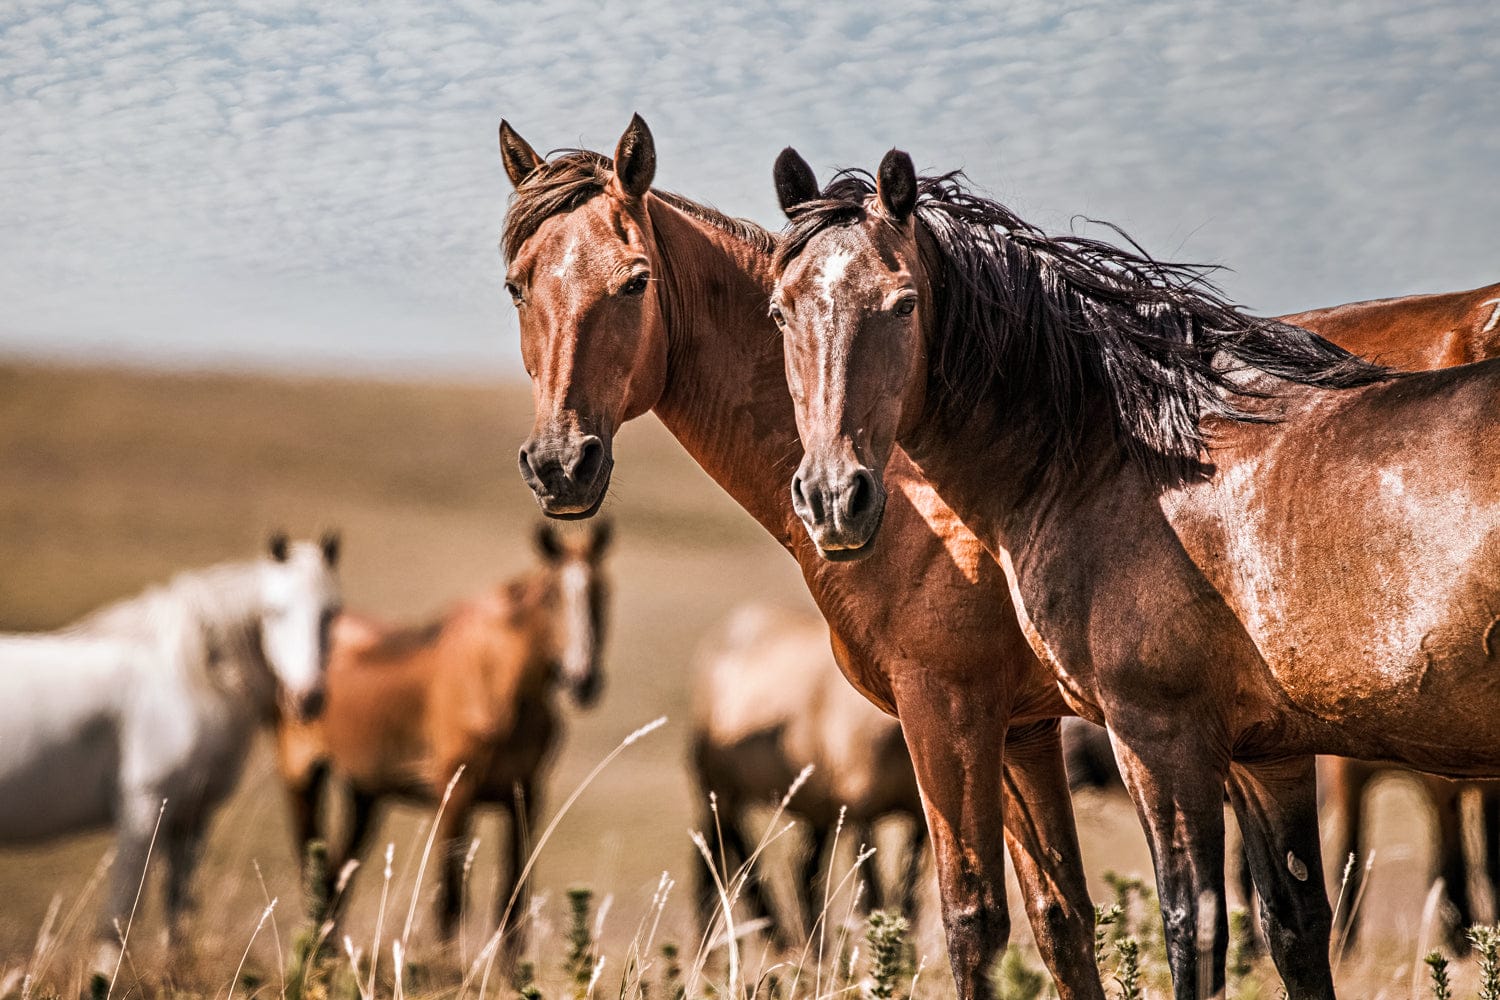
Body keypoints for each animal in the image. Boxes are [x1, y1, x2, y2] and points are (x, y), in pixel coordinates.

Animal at [0, 534, 341, 973]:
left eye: (332, 613)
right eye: (274, 611)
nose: (308, 698)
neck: (186, 677)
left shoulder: (189, 817)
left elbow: (178, 909)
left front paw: (175, 976)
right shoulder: (143, 807)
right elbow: (120, 914)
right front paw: (104, 979)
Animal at [274, 521, 610, 951]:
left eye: (601, 592)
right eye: (551, 596)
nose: (583, 680)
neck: (499, 684)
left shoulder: (526, 796)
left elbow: (512, 902)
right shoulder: (456, 797)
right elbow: (450, 901)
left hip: (365, 793)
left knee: (335, 877)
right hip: (301, 776)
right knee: (313, 873)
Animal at [691, 603, 927, 945]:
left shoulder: (920, 821)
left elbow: (908, 898)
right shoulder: (861, 815)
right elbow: (875, 896)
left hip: (816, 815)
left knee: (801, 871)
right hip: (719, 793)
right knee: (718, 858)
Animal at [768, 147, 1500, 999]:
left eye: (903, 304)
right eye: (781, 311)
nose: (832, 497)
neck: (1119, 458)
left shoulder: (1159, 737)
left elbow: (1194, 929)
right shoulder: (1267, 755)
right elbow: (1295, 928)